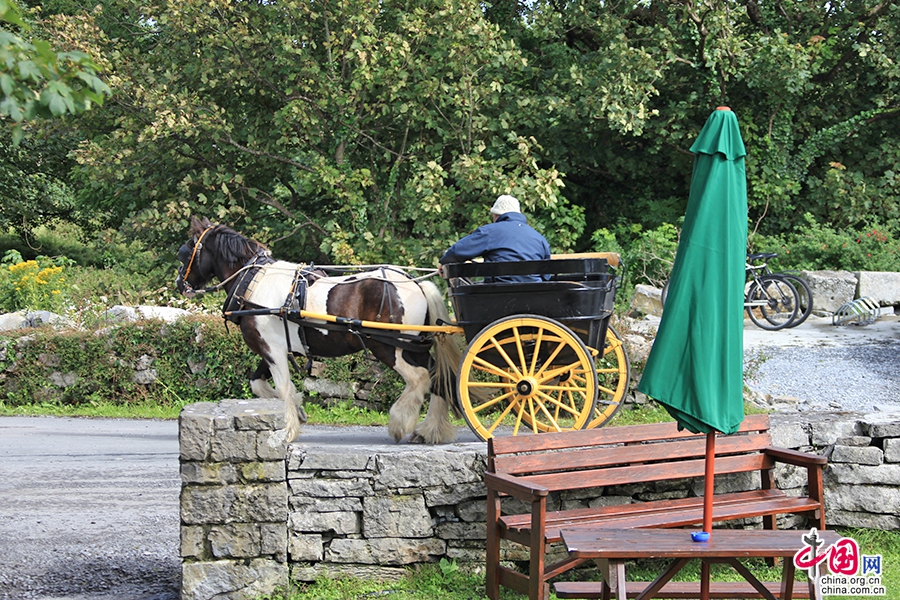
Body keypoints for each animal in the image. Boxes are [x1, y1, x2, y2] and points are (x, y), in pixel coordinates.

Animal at [174, 218, 464, 442]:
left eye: (186, 252)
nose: (180, 283)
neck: (253, 282)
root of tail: (415, 284)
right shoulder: (272, 349)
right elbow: (259, 384)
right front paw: (298, 412)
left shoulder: (272, 350)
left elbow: (283, 388)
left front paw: (288, 430)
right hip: (412, 346)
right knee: (439, 377)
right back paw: (429, 431)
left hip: (388, 346)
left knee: (420, 378)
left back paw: (400, 423)